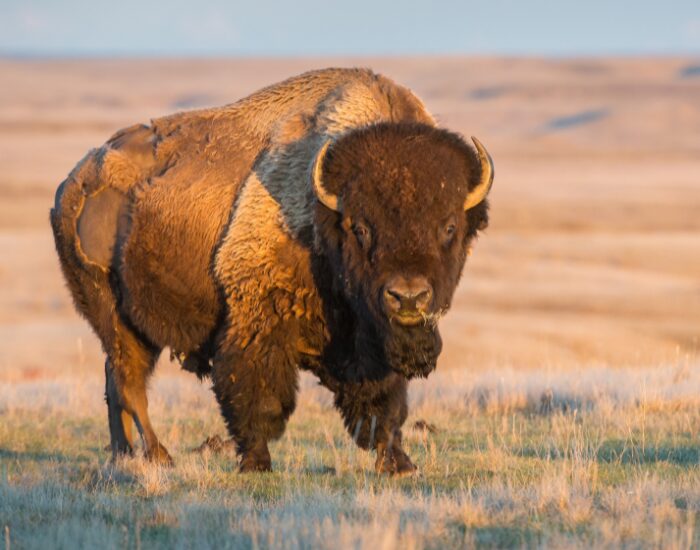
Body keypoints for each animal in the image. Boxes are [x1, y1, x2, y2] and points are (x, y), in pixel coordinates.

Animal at [51, 68, 493, 474]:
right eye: (360, 227)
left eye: (449, 227)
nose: (408, 297)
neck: (323, 216)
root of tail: (73, 182)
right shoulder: (257, 321)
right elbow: (257, 395)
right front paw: (256, 463)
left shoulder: (372, 345)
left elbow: (384, 404)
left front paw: (399, 464)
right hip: (113, 316)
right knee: (129, 384)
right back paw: (160, 456)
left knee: (115, 384)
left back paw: (123, 455)